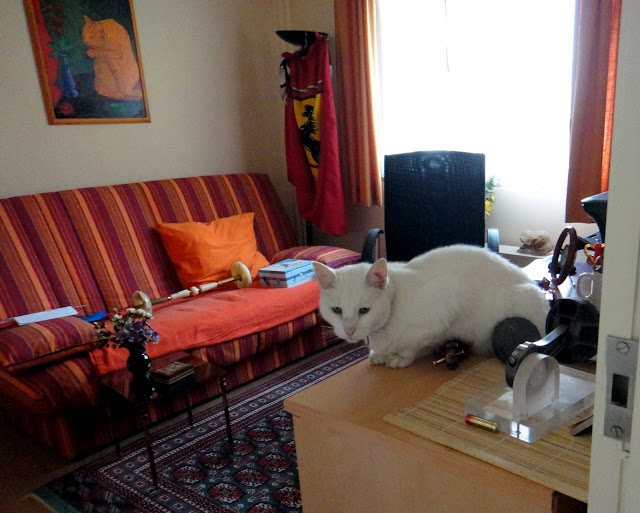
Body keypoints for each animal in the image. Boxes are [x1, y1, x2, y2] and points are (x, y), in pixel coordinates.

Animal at [313, 245, 549, 369]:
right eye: (336, 310)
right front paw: (379, 354)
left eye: (364, 310)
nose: (349, 330)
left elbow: (413, 344)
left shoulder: (449, 301)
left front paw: (399, 358)